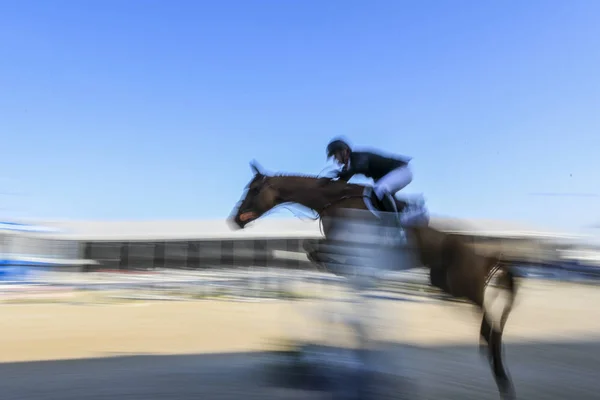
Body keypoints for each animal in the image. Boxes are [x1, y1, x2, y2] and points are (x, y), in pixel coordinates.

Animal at [230, 161, 520, 398]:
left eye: (253, 190)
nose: (234, 220)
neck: (332, 200)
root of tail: (486, 255)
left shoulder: (350, 244)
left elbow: (315, 249)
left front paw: (341, 270)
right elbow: (312, 250)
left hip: (460, 285)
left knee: (491, 317)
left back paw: (497, 362)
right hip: (443, 284)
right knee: (488, 316)